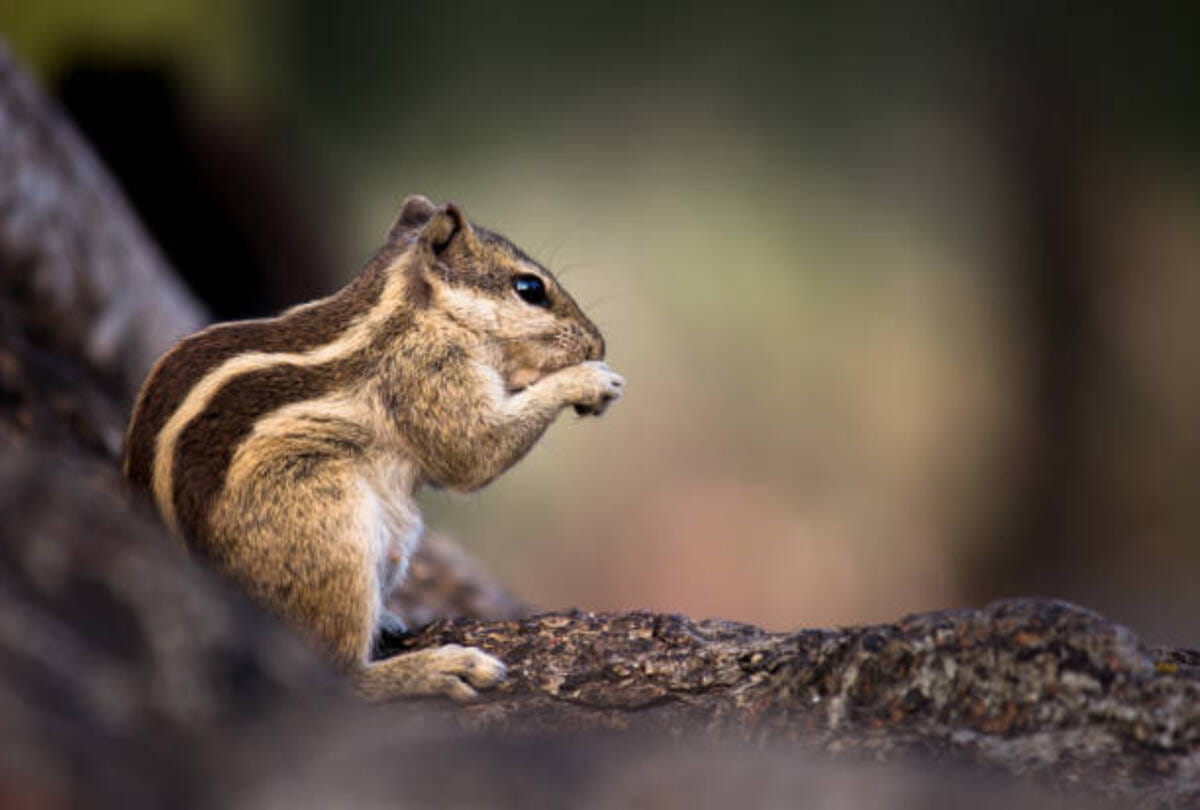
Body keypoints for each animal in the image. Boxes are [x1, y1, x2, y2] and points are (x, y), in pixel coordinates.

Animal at [122, 195, 624, 701]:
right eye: (529, 288)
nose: (597, 342)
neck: (411, 312)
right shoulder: (426, 377)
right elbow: (473, 453)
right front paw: (588, 379)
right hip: (326, 525)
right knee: (340, 674)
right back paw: (437, 668)